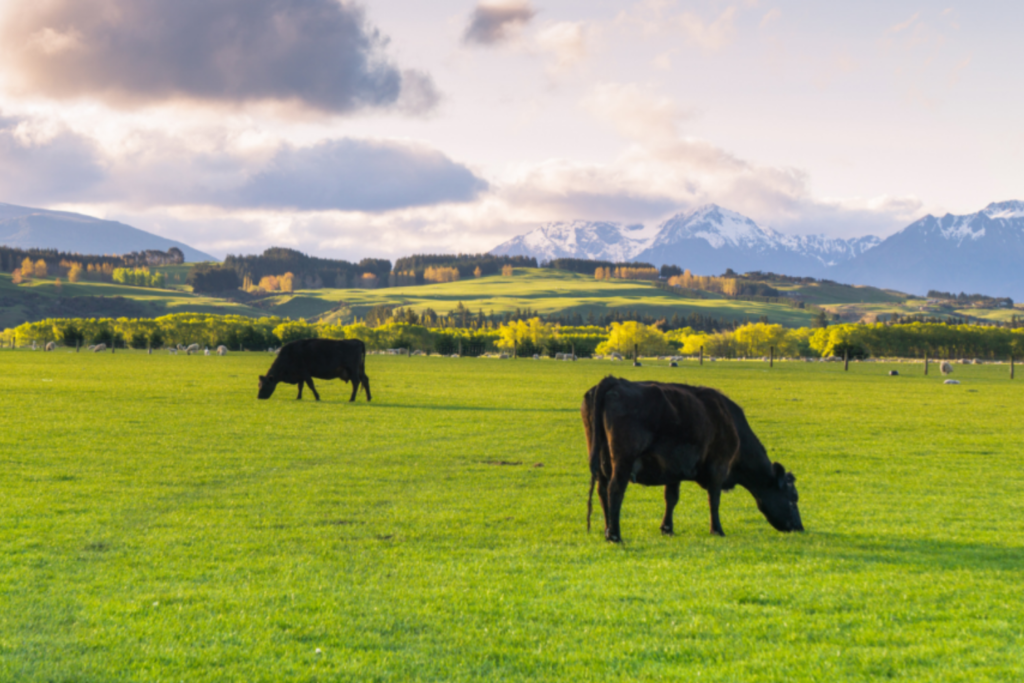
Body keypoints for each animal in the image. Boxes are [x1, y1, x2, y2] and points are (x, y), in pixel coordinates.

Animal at [582, 376, 802, 542]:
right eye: (793, 499)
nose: (800, 528)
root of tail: (613, 381)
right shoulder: (718, 467)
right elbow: (714, 500)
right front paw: (717, 530)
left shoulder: (672, 470)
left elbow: (671, 498)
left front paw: (667, 529)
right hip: (623, 461)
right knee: (615, 491)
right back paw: (615, 535)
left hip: (602, 463)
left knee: (602, 491)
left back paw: (607, 531)